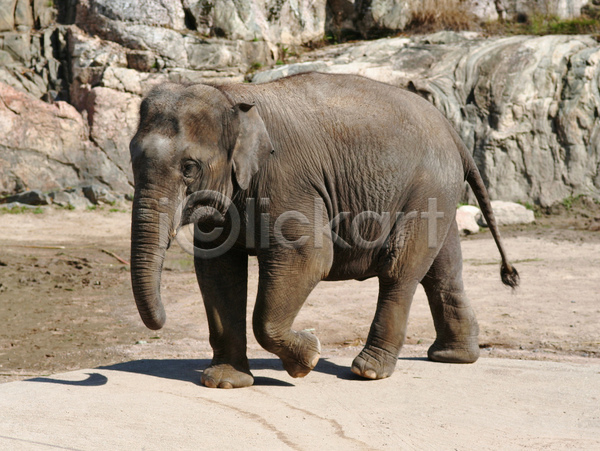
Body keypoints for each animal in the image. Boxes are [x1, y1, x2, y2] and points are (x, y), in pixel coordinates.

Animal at [129, 72, 516, 390]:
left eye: (189, 167)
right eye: (132, 158)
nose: (162, 320)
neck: (230, 93)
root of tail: (452, 130)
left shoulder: (286, 179)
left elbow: (311, 256)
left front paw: (308, 358)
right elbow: (218, 269)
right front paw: (225, 382)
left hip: (426, 185)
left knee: (400, 270)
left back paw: (369, 371)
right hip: (438, 190)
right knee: (443, 270)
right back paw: (453, 357)